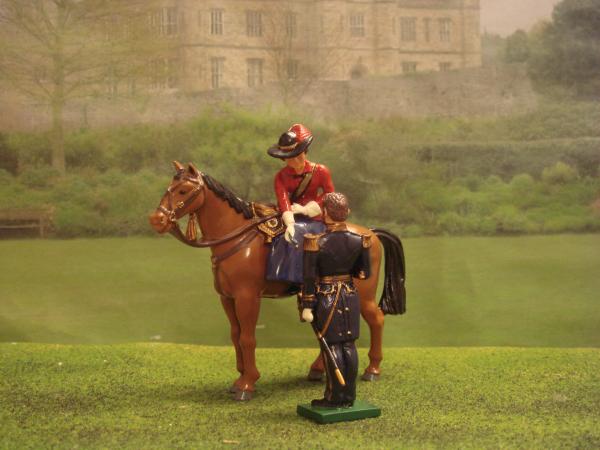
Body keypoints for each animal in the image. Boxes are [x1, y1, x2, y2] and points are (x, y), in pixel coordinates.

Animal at [149, 162, 408, 400]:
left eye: (183, 190)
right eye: (169, 187)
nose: (156, 219)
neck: (239, 237)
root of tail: (371, 233)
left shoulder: (248, 298)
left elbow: (247, 338)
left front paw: (247, 383)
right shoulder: (227, 298)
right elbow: (235, 334)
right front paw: (240, 376)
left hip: (362, 295)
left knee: (376, 320)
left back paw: (372, 369)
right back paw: (319, 369)